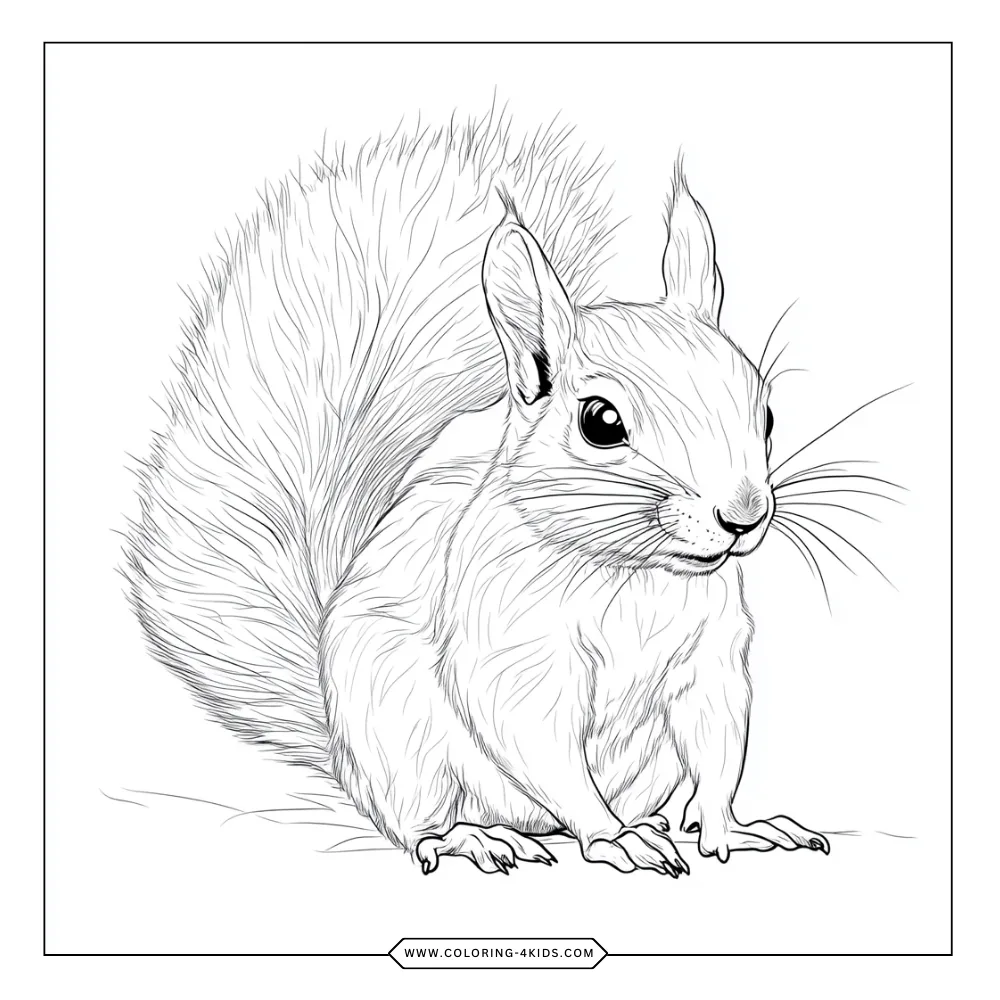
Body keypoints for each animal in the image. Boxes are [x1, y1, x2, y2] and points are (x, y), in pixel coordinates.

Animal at [125, 112, 831, 875]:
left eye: (766, 413)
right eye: (601, 422)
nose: (744, 516)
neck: (635, 577)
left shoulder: (711, 658)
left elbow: (718, 743)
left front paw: (730, 826)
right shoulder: (512, 644)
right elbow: (536, 734)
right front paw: (612, 837)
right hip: (401, 743)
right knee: (416, 823)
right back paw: (475, 836)